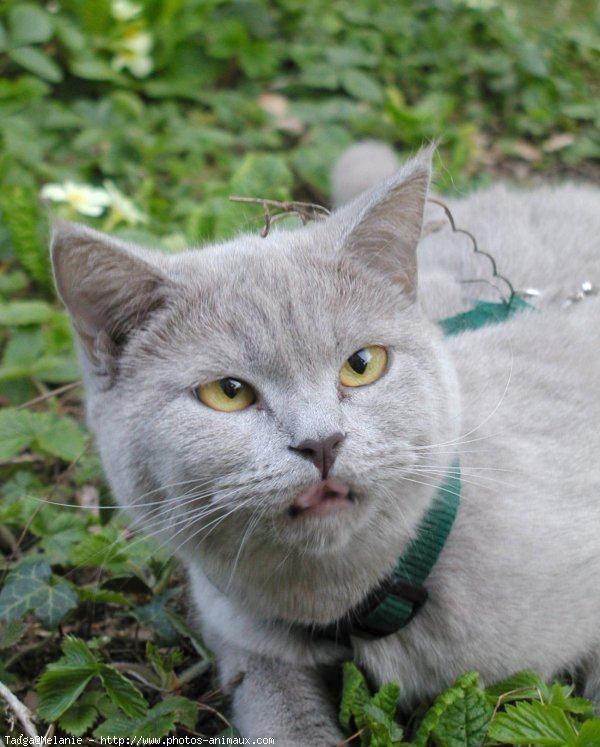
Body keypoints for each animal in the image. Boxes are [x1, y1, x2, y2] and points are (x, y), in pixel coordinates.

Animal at [51, 143, 600, 744]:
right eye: (228, 393)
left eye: (362, 365)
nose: (321, 442)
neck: (348, 604)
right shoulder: (246, 642)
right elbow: (280, 714)